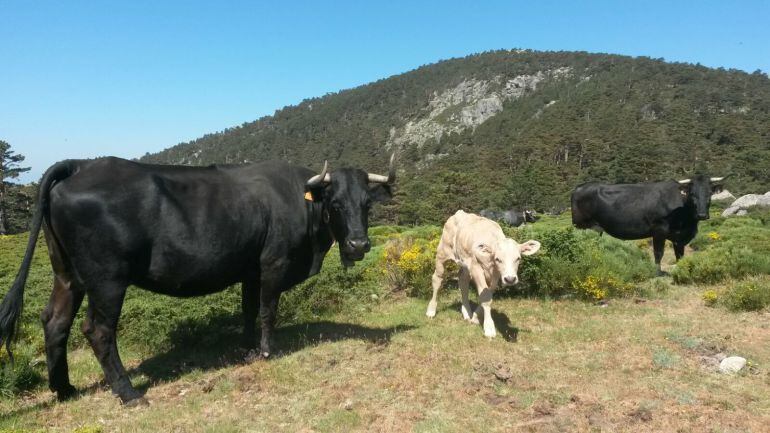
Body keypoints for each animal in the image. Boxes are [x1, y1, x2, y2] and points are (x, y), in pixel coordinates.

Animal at [0, 154, 396, 404]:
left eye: (367, 204)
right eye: (335, 203)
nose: (359, 245)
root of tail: (82, 164)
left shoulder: (250, 269)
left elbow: (248, 311)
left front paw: (248, 348)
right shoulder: (273, 263)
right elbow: (268, 310)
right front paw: (268, 351)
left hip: (67, 274)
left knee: (55, 321)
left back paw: (64, 389)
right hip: (107, 279)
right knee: (97, 330)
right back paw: (129, 393)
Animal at [568, 173, 728, 272]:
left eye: (710, 194)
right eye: (692, 194)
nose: (702, 215)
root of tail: (579, 188)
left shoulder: (680, 236)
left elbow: (680, 255)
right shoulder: (659, 230)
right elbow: (658, 253)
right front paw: (657, 272)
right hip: (581, 226)